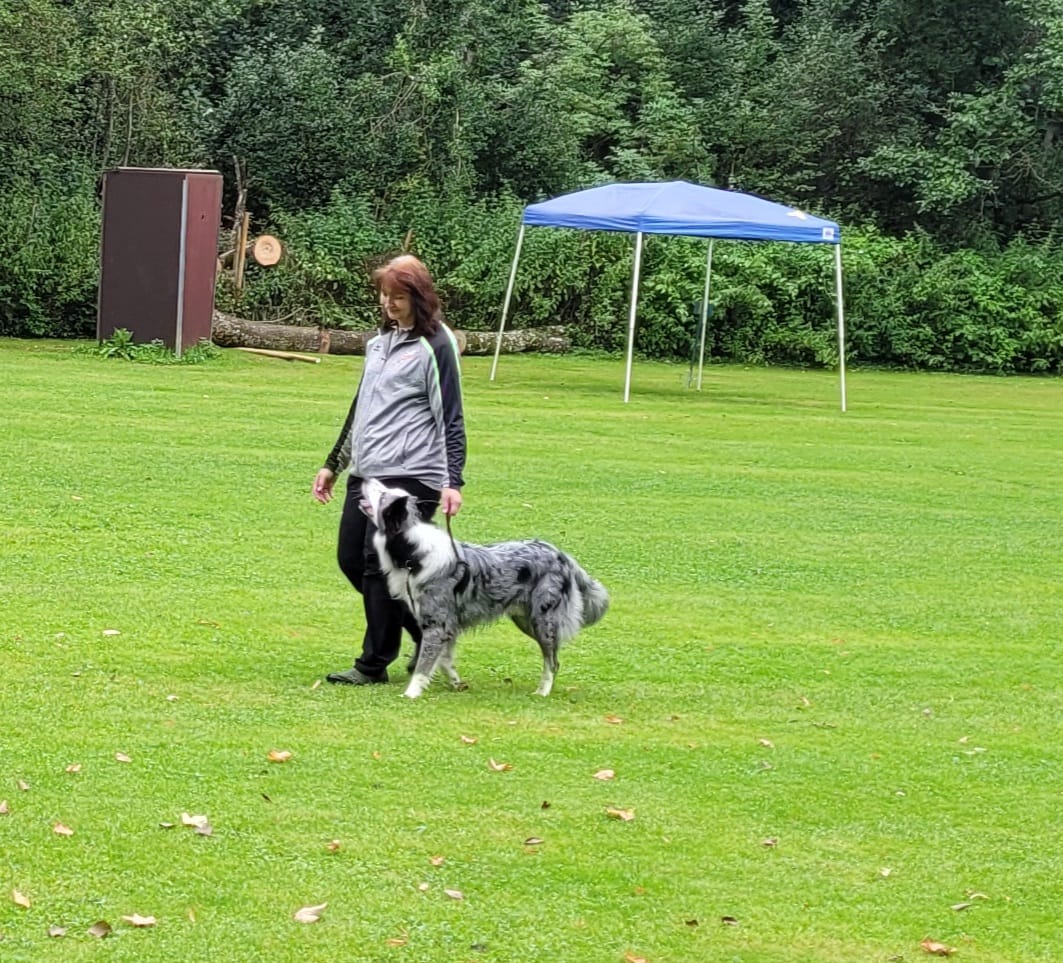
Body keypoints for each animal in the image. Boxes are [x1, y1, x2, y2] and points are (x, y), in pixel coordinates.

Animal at [359, 474, 608, 693]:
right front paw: (457, 683)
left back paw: (542, 692)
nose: (365, 478)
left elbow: (424, 666)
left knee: (552, 661)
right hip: (525, 619)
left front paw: (411, 694)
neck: (413, 552)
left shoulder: (437, 624)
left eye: (383, 495)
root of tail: (562, 555)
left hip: (543, 619)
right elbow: (444, 660)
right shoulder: (448, 625)